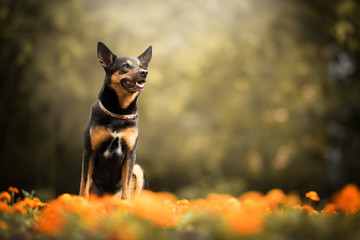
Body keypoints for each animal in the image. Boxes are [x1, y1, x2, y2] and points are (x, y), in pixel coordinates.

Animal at [79, 42, 151, 200]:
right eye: (125, 66)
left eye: (142, 65)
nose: (144, 72)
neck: (118, 113)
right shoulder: (89, 152)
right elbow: (83, 186)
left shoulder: (130, 154)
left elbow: (125, 188)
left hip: (138, 169)